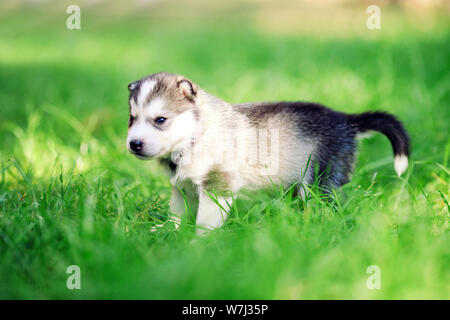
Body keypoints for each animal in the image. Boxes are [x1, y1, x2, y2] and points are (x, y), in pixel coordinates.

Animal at [125, 72, 410, 235]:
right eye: (131, 119)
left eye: (160, 120)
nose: (134, 144)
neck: (195, 136)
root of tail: (345, 119)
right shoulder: (181, 188)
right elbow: (177, 212)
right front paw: (168, 231)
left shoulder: (218, 186)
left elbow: (206, 220)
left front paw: (200, 241)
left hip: (321, 179)